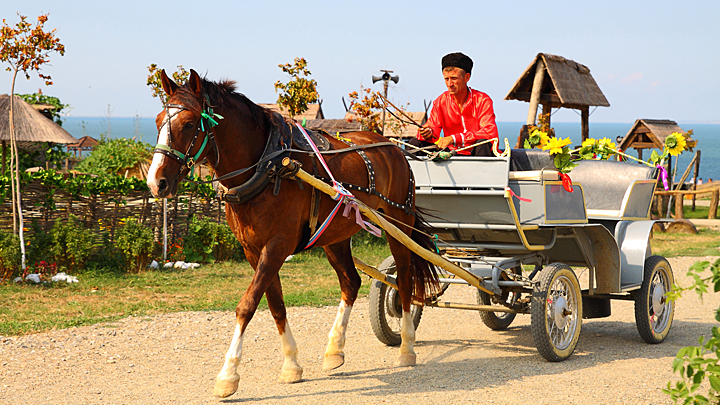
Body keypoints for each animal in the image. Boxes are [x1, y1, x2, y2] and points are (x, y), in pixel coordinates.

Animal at [147, 70, 438, 398]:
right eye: (158, 121)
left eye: (187, 124)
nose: (156, 182)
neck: (267, 166)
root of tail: (393, 147)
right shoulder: (254, 250)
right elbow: (275, 305)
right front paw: (291, 365)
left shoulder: (277, 246)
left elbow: (247, 305)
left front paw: (228, 375)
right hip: (335, 236)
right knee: (351, 283)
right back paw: (334, 349)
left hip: (398, 224)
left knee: (404, 279)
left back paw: (407, 347)